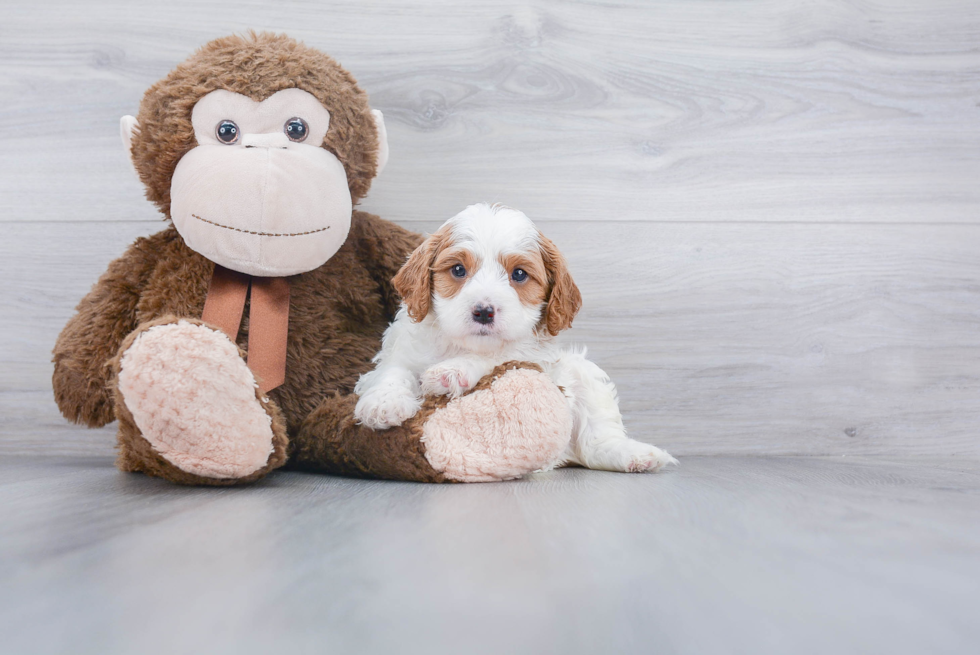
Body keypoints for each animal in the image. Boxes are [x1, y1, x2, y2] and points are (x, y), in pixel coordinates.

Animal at [356, 202, 676, 474]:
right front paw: (383, 404)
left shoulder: (533, 356)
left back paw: (634, 455)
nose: (483, 311)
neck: (459, 344)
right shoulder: (403, 349)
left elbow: (498, 356)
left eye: (519, 274)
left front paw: (454, 370)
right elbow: (393, 371)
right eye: (458, 269)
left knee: (596, 441)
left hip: (582, 375)